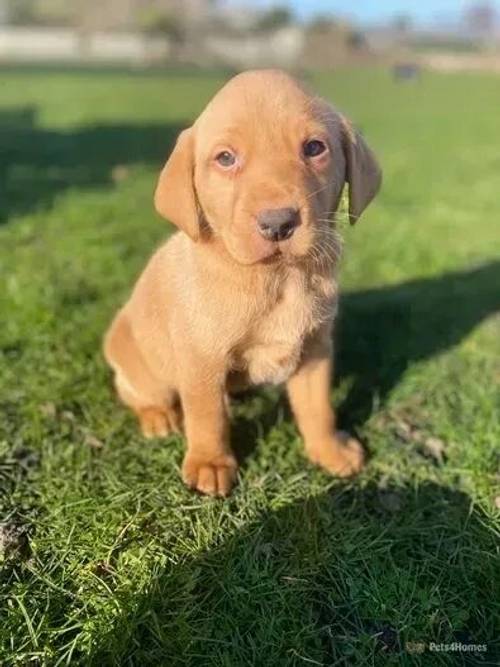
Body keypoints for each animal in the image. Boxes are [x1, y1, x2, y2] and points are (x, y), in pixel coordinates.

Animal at [103, 69, 380, 496]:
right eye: (225, 158)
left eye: (314, 147)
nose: (278, 223)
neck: (279, 278)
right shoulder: (202, 358)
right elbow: (207, 416)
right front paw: (210, 463)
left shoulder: (315, 349)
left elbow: (318, 408)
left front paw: (329, 449)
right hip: (141, 367)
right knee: (137, 393)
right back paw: (157, 417)